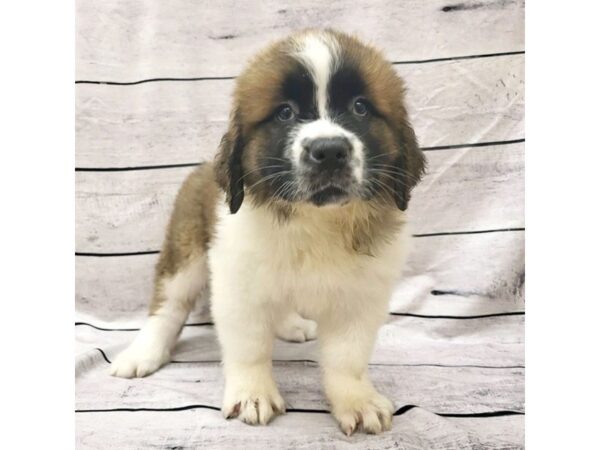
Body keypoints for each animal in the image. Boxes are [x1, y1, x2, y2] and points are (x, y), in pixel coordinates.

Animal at [110, 29, 424, 436]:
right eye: (285, 113)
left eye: (360, 108)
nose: (330, 151)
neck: (317, 221)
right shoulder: (239, 287)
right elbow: (250, 348)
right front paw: (253, 394)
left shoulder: (359, 298)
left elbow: (347, 358)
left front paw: (356, 400)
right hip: (186, 252)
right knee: (168, 305)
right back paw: (143, 352)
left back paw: (291, 325)